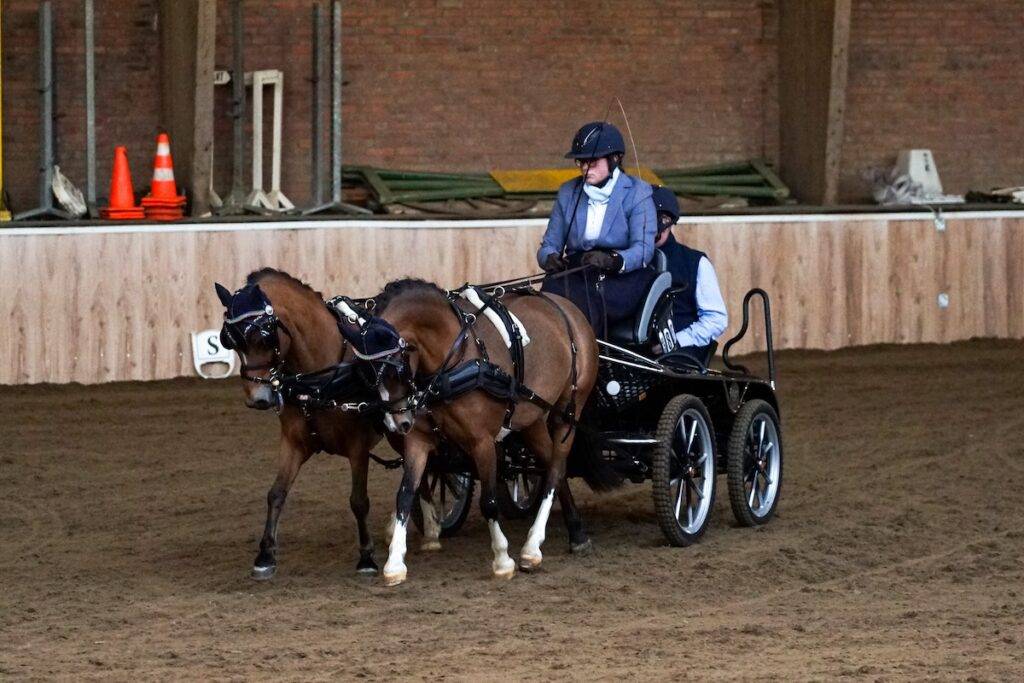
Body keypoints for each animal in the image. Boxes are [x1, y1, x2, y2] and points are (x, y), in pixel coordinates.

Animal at [211, 270, 385, 581]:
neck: (319, 380)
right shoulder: (293, 443)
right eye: (228, 341)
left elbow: (358, 500)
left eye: (264, 337)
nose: (258, 399)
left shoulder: (358, 447)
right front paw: (265, 555)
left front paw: (366, 557)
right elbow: (276, 493)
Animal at [362, 278, 598, 589]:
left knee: (557, 466)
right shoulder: (419, 440)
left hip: (568, 411)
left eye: (395, 369)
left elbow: (489, 502)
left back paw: (532, 546)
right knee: (551, 466)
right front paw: (394, 564)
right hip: (532, 417)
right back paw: (576, 533)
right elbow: (405, 495)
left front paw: (502, 560)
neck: (454, 359)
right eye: (366, 373)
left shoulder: (482, 442)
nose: (397, 422)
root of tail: (567, 306)